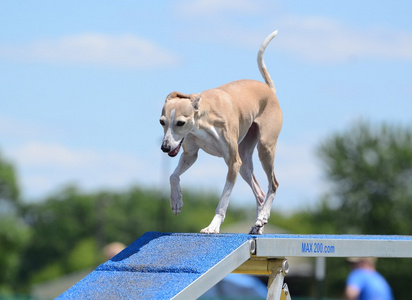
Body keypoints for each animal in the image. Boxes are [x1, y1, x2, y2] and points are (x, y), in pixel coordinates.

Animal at [159, 29, 282, 234]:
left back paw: (263, 216)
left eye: (180, 123)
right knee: (259, 192)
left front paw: (213, 226)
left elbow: (223, 200)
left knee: (273, 184)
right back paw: (258, 225)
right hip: (245, 161)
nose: (165, 147)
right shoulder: (190, 154)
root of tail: (269, 90)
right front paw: (176, 201)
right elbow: (173, 176)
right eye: (161, 122)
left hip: (264, 149)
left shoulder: (232, 162)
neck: (203, 120)